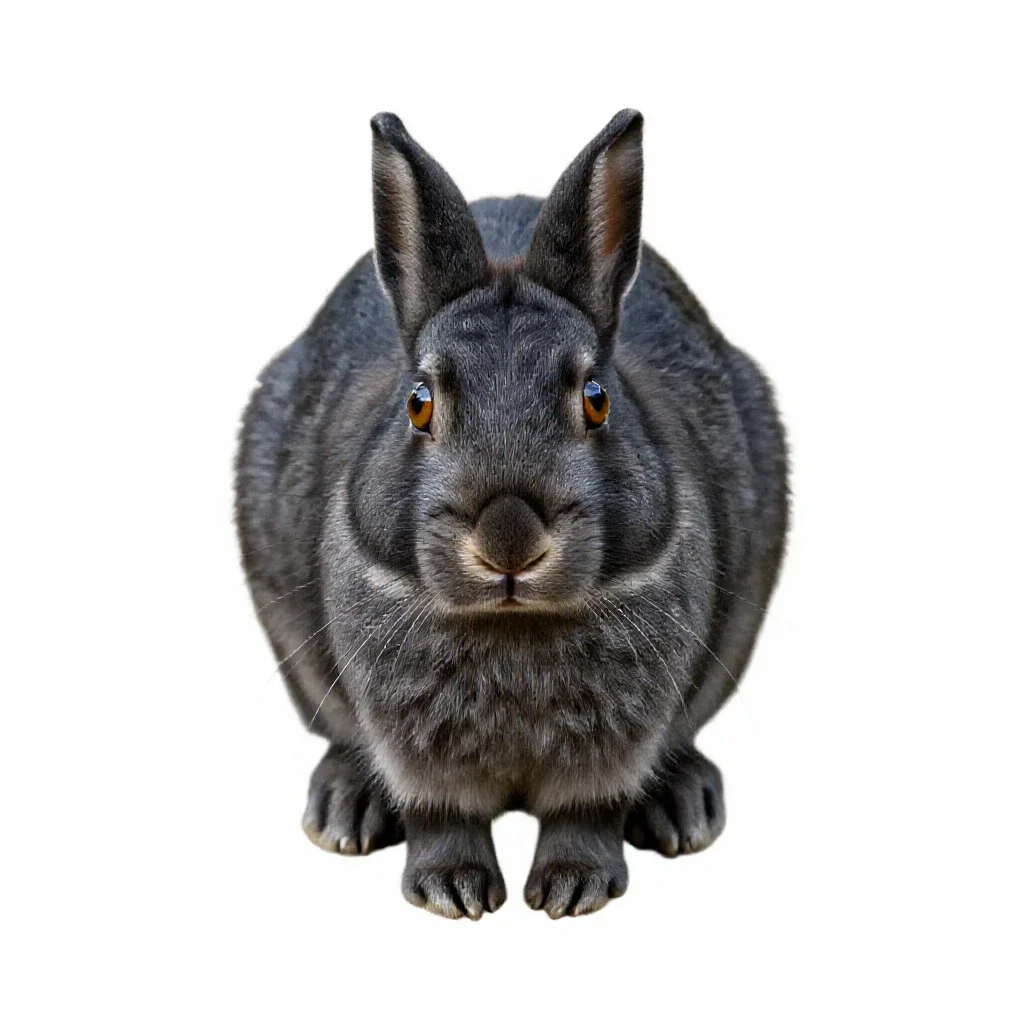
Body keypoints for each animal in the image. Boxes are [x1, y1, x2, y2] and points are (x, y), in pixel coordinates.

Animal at [235, 109, 789, 919]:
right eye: (419, 403)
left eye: (596, 398)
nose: (508, 539)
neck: (512, 626)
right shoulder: (417, 751)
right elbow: (442, 814)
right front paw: (453, 891)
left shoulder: (614, 747)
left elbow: (587, 812)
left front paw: (572, 889)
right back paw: (343, 809)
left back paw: (686, 808)